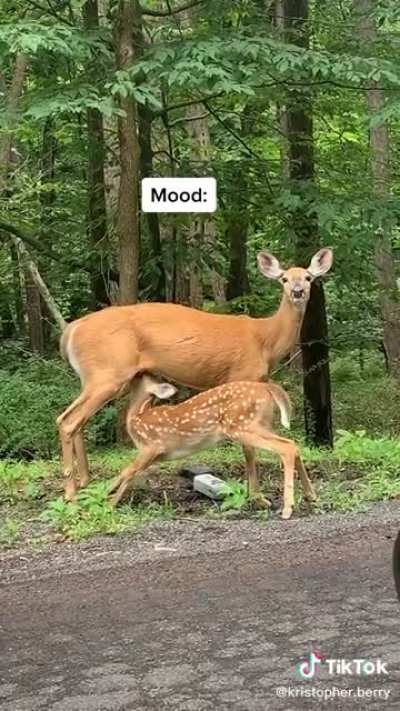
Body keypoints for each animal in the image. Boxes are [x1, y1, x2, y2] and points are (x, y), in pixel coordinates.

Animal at [57, 247, 332, 505]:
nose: (297, 291)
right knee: (68, 421)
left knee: (75, 420)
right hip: (108, 373)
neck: (266, 340)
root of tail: (71, 330)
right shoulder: (241, 375)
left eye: (308, 277)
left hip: (102, 378)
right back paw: (71, 492)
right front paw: (257, 497)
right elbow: (248, 447)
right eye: (284, 279)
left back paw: (85, 482)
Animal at [108, 375, 316, 519]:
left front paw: (106, 500)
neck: (137, 418)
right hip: (261, 424)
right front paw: (110, 500)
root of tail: (266, 387)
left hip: (241, 425)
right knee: (293, 444)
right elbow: (130, 474)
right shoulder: (152, 455)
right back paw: (310, 496)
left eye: (136, 378)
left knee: (286, 447)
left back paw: (288, 508)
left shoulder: (151, 447)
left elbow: (126, 472)